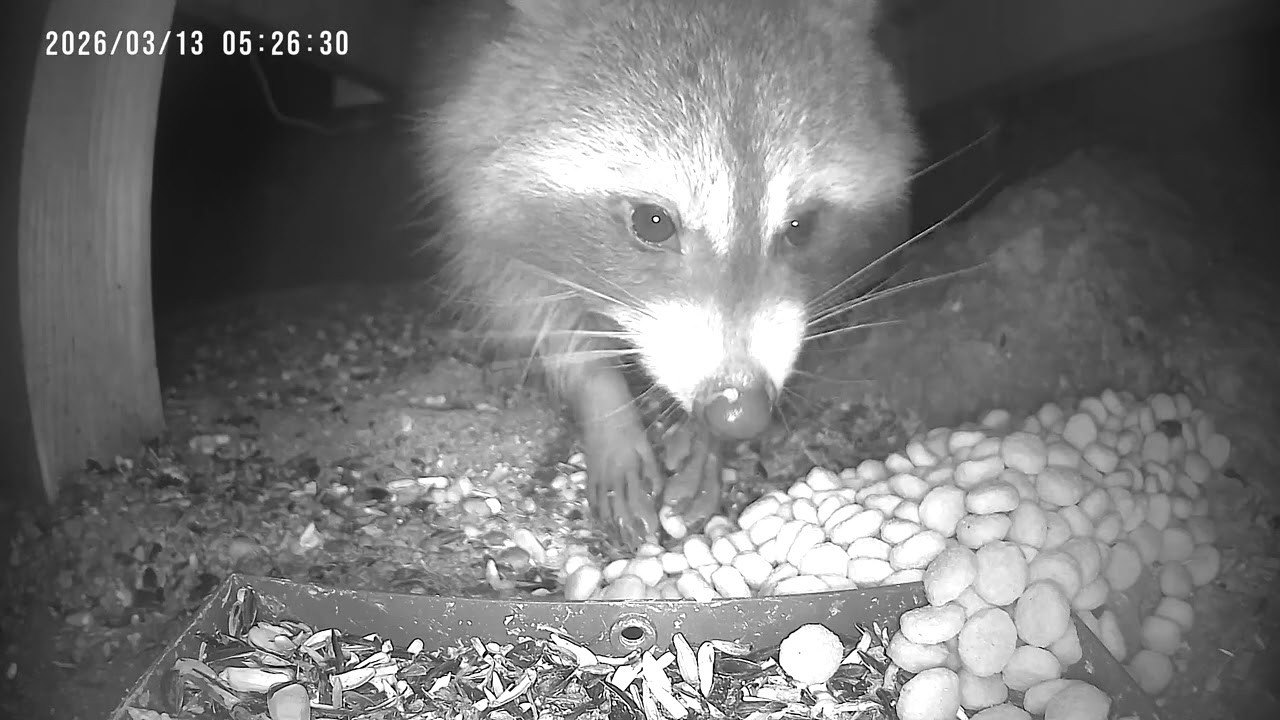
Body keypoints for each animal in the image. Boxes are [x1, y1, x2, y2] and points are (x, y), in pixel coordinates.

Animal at [418, 0, 921, 548]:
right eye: (652, 222)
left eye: (802, 227)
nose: (738, 409)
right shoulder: (478, 187)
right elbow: (531, 311)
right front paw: (605, 405)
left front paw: (707, 439)